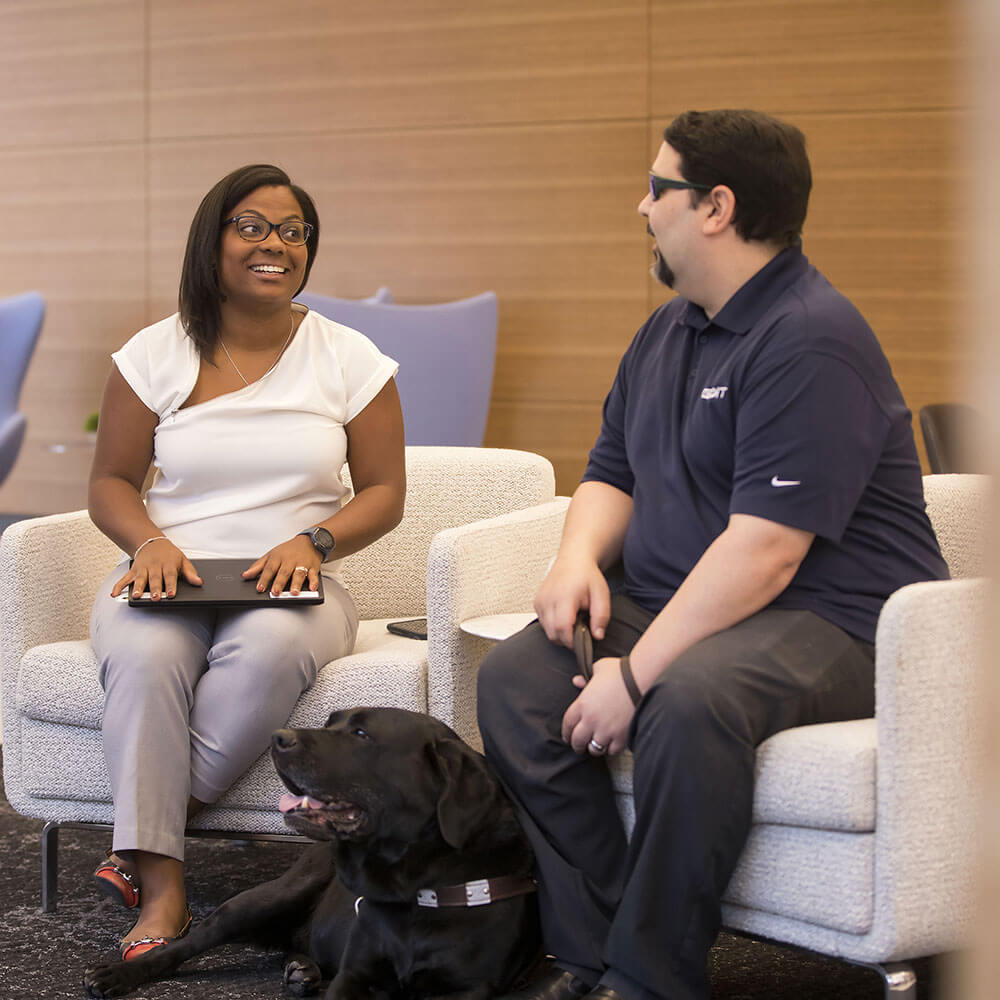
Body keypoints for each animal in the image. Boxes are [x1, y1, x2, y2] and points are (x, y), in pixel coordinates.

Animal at [84, 708, 540, 996]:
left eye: (361, 734)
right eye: (331, 722)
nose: (277, 737)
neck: (414, 889)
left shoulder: (469, 988)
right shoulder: (356, 974)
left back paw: (302, 970)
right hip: (265, 899)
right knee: (182, 946)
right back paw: (118, 972)